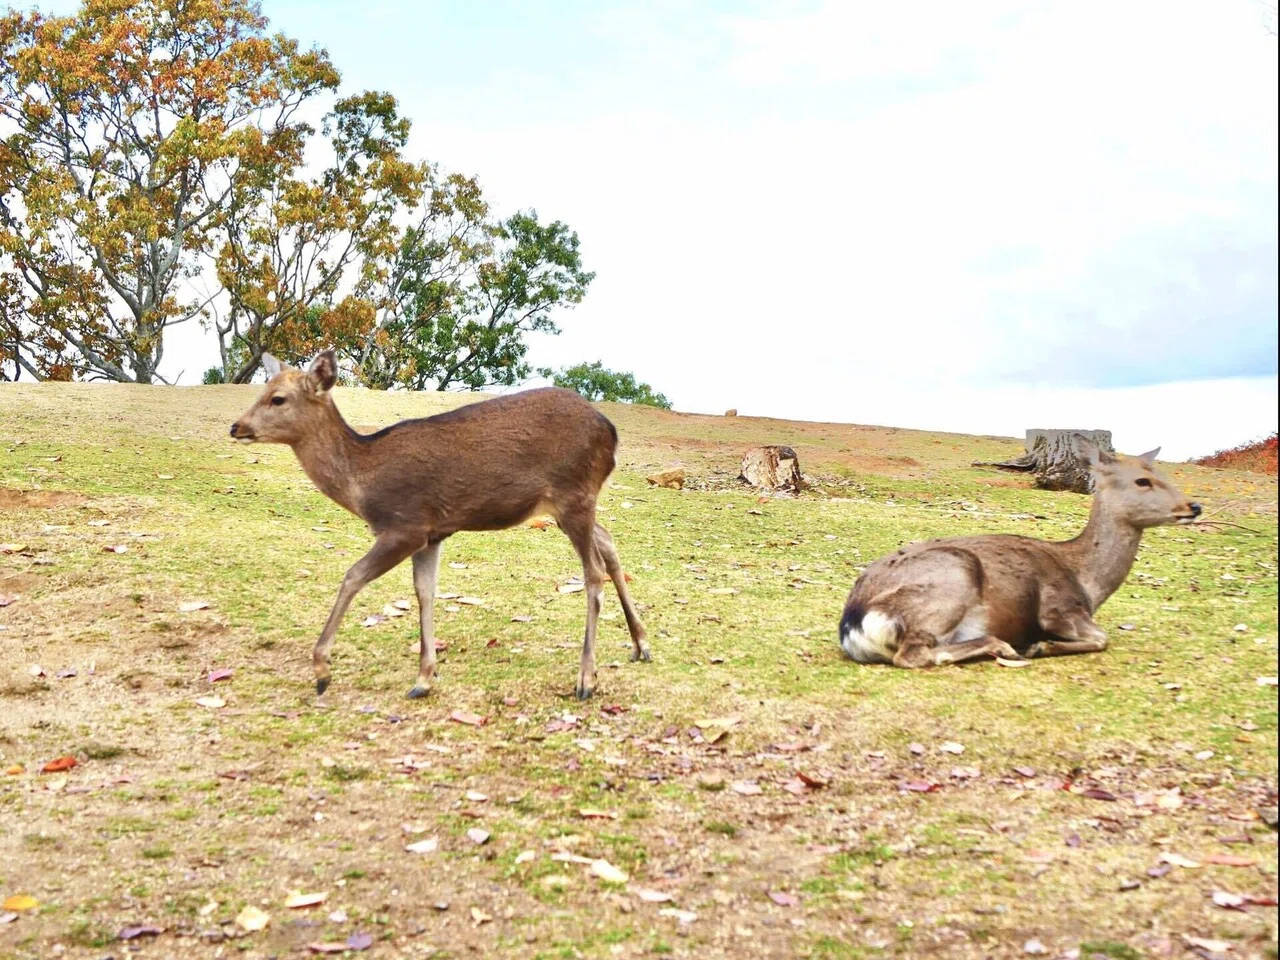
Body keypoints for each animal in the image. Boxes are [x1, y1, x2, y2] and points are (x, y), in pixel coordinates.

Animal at [229, 350, 650, 700]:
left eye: (278, 398)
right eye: (264, 389)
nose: (237, 427)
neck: (363, 482)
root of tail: (611, 433)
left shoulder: (405, 524)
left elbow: (352, 577)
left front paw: (322, 671)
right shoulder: (433, 534)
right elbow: (425, 592)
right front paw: (424, 678)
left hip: (574, 494)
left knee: (593, 572)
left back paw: (586, 680)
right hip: (571, 505)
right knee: (608, 544)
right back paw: (641, 644)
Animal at [838, 436, 1201, 668]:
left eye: (1162, 474)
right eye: (1142, 481)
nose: (1194, 506)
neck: (1088, 583)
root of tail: (853, 623)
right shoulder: (1058, 608)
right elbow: (1102, 637)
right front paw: (1043, 645)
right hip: (954, 576)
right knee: (914, 655)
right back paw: (1008, 648)